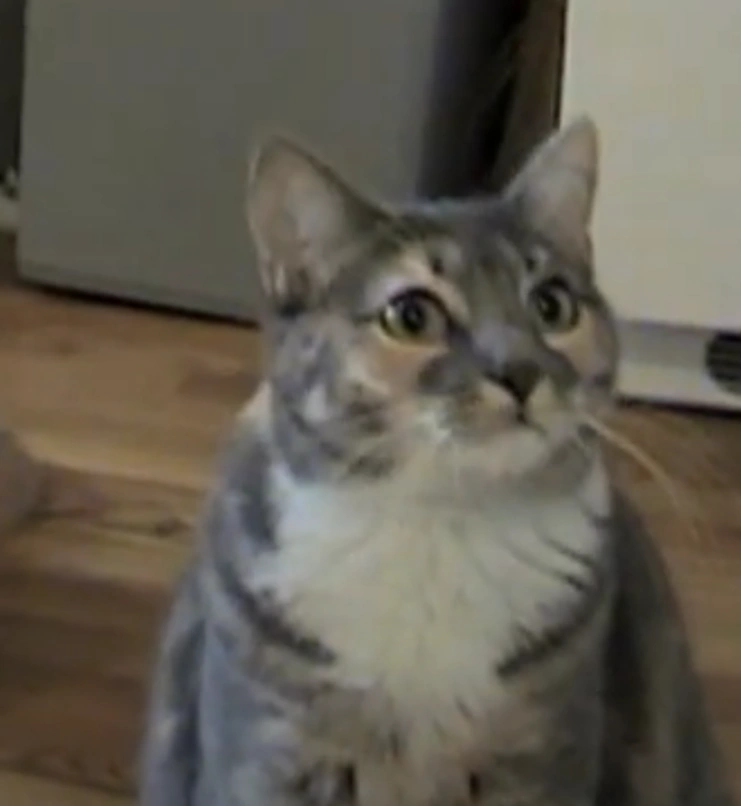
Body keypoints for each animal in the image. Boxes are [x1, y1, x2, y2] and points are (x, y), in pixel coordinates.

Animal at [138, 117, 735, 806]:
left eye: (553, 305)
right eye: (411, 315)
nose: (520, 371)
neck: (439, 524)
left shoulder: (544, 761)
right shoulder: (262, 753)